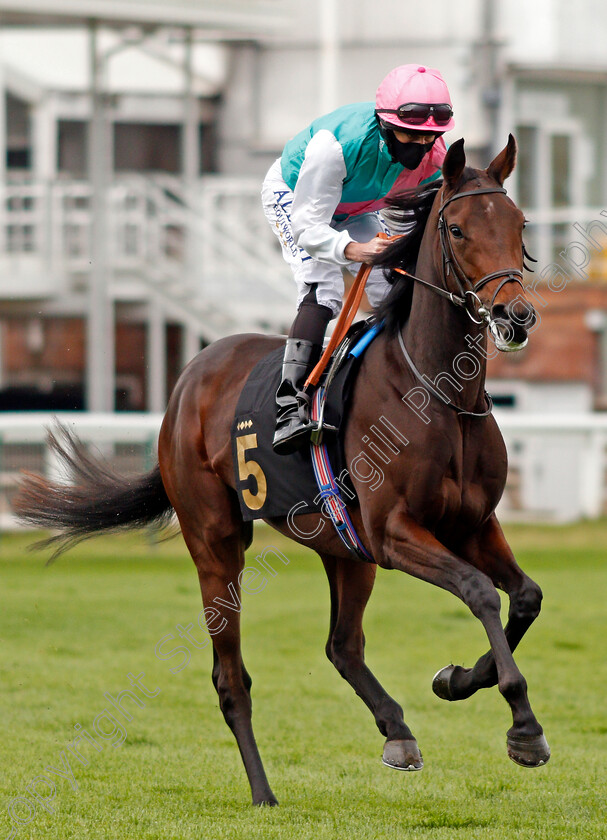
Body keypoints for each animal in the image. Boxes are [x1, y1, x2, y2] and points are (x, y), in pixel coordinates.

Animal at [15, 135, 552, 804]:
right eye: (456, 229)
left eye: (520, 224)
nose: (516, 315)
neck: (438, 393)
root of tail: (187, 381)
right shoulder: (395, 532)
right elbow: (479, 591)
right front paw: (523, 725)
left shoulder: (472, 525)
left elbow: (525, 597)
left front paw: (458, 678)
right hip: (218, 544)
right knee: (231, 678)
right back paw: (263, 793)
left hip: (343, 548)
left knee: (342, 646)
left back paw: (397, 731)